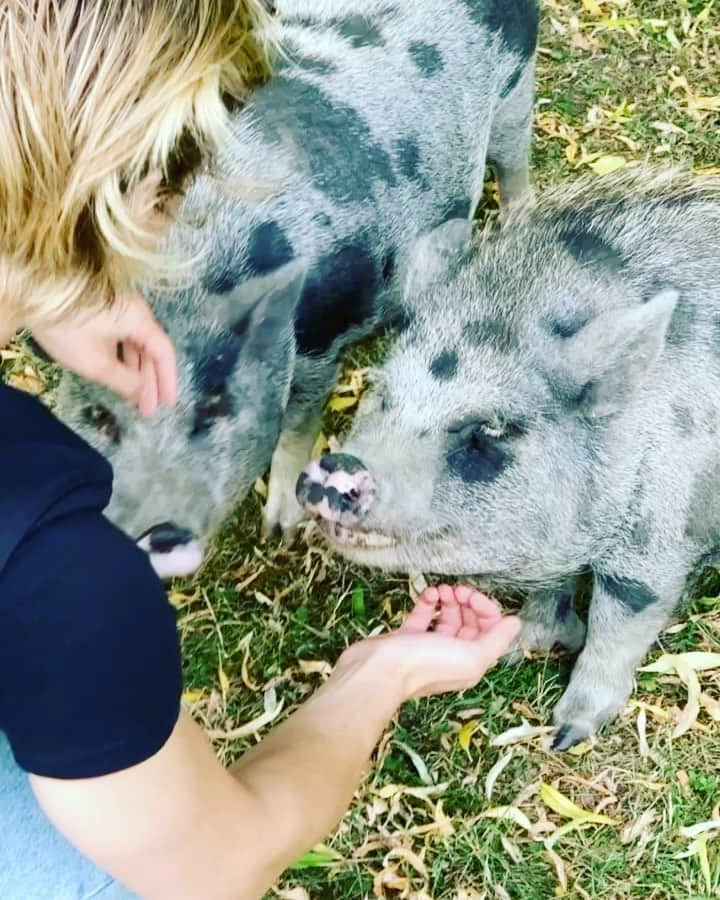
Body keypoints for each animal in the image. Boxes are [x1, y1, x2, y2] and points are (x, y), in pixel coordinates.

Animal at [296, 172, 720, 748]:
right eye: (382, 394)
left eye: (491, 430)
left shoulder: (655, 539)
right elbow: (552, 597)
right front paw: (521, 647)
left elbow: (619, 623)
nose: (337, 466)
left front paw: (565, 734)